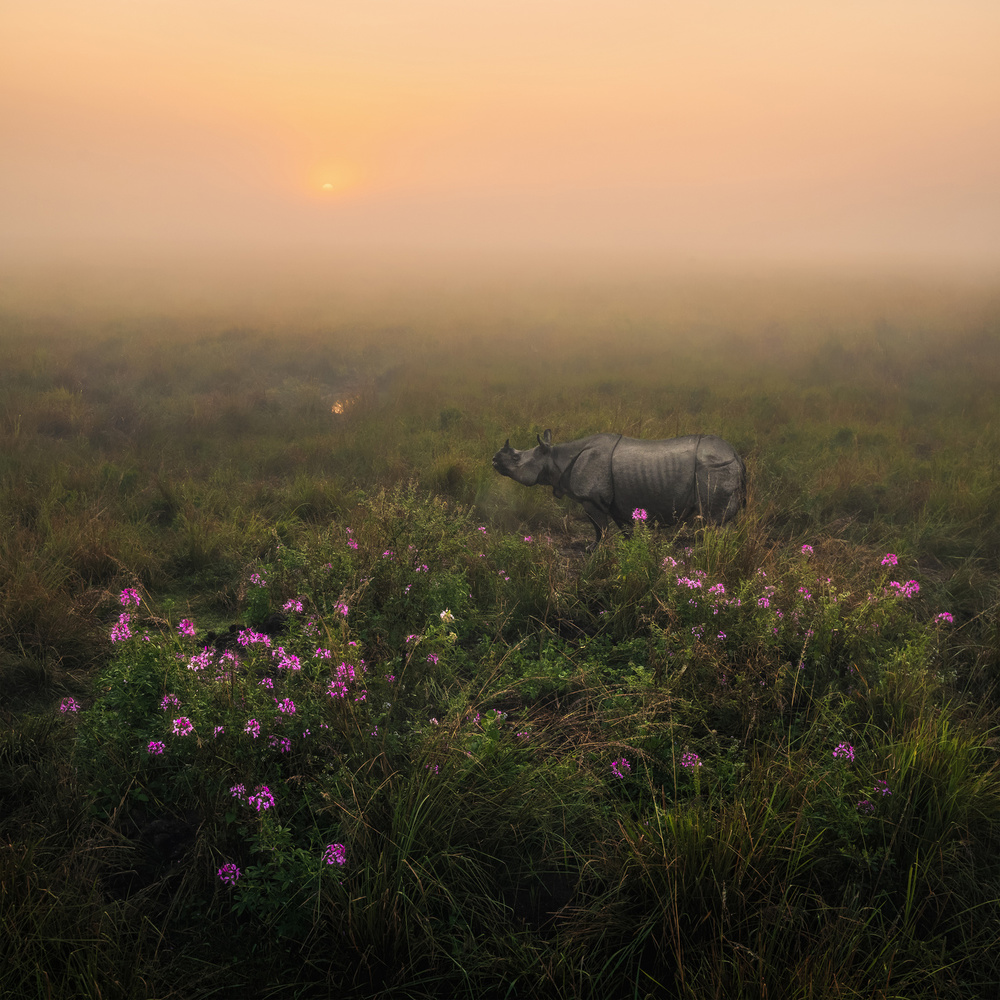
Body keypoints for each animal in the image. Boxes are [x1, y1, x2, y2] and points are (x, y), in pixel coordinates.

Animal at [492, 430, 746, 548]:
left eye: (515, 458)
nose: (494, 459)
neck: (555, 458)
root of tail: (736, 454)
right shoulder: (616, 503)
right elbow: (623, 529)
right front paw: (631, 548)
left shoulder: (591, 499)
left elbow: (599, 528)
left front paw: (592, 549)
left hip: (713, 467)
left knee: (714, 521)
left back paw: (709, 550)